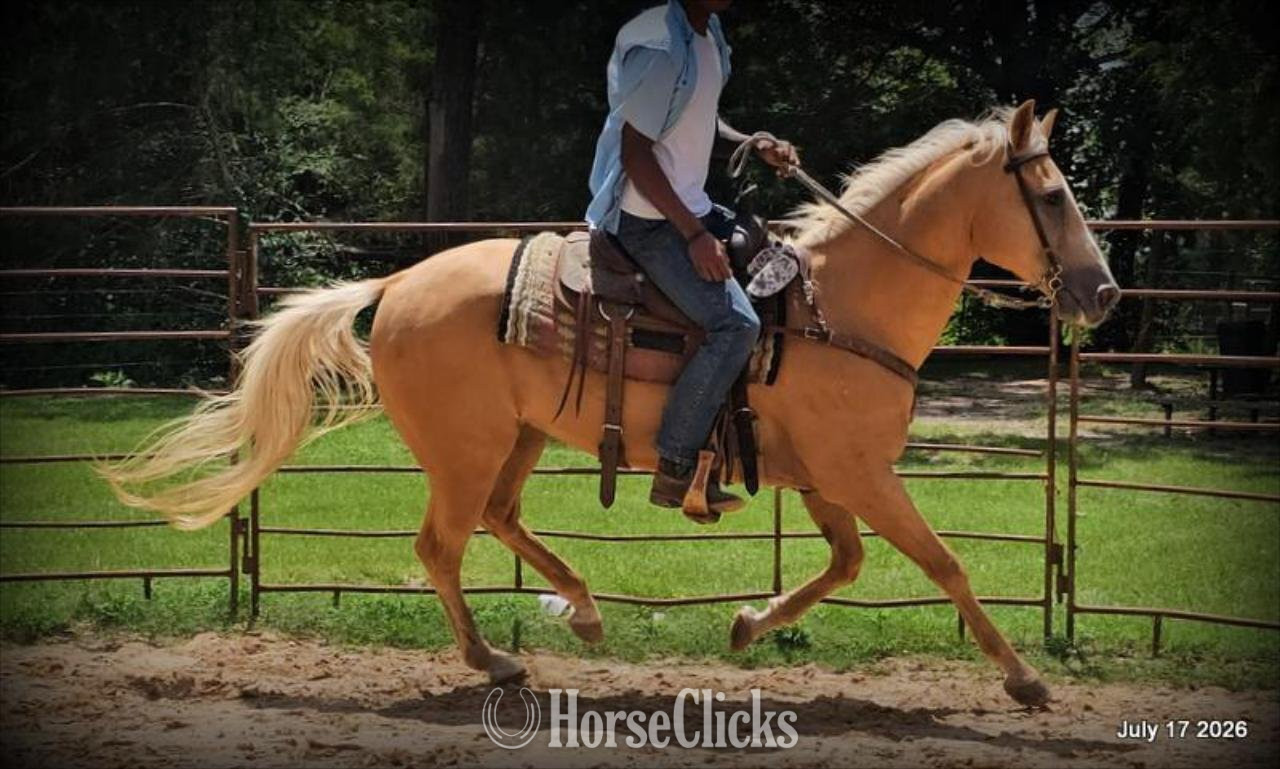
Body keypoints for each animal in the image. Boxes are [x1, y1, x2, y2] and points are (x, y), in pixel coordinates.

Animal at [104, 100, 1119, 707]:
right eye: (1053, 195)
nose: (1102, 292)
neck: (841, 304)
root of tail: (396, 285)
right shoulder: (863, 472)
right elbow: (943, 563)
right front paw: (1024, 679)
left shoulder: (829, 478)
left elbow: (848, 564)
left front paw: (746, 624)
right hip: (464, 448)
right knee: (442, 545)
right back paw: (496, 658)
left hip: (514, 438)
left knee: (501, 519)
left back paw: (585, 610)